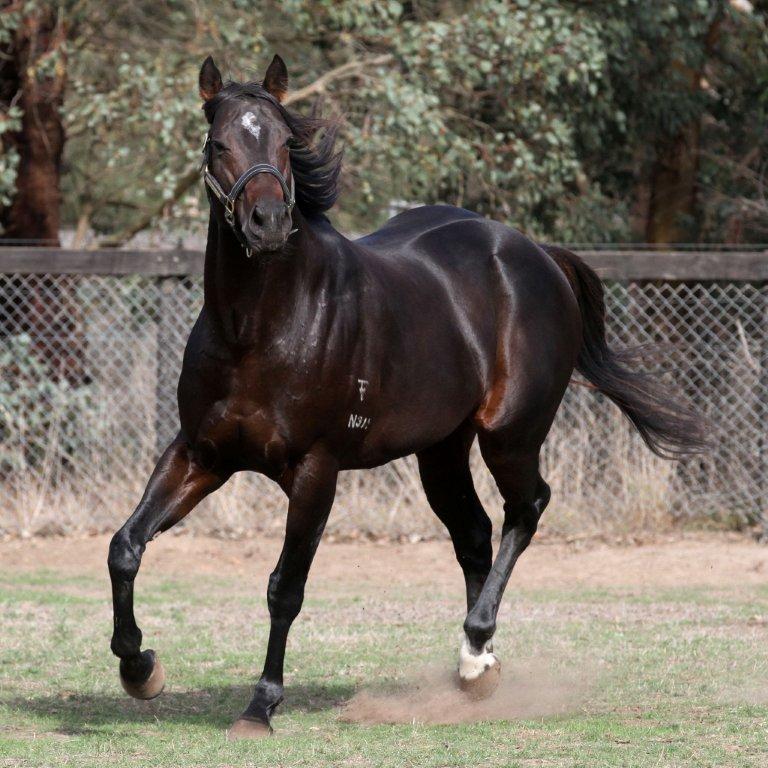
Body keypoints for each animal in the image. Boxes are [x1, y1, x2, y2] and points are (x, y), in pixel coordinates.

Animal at [107, 54, 705, 739]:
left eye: (285, 142)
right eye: (218, 143)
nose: (268, 224)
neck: (258, 327)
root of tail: (534, 253)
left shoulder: (315, 470)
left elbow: (286, 588)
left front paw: (260, 705)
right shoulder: (200, 456)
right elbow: (125, 548)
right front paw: (140, 668)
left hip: (510, 436)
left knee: (525, 510)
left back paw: (476, 650)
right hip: (441, 451)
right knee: (473, 533)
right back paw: (476, 664)